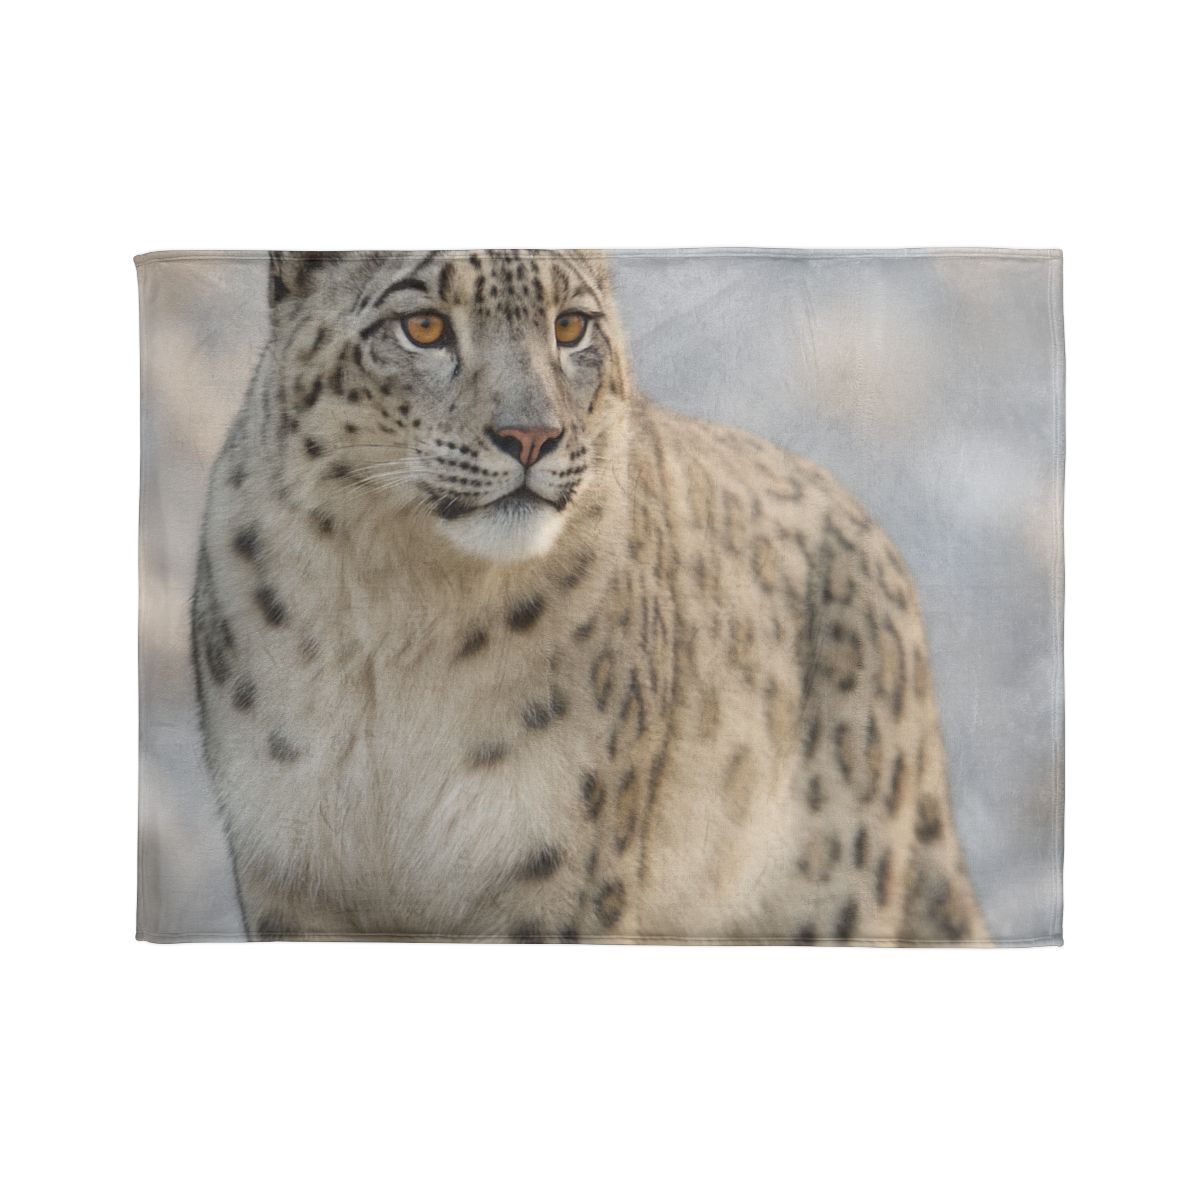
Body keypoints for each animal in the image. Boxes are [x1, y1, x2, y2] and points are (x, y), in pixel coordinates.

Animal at [191, 248, 988, 944]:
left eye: (571, 325)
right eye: (423, 327)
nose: (530, 436)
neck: (401, 618)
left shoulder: (561, 871)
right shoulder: (288, 870)